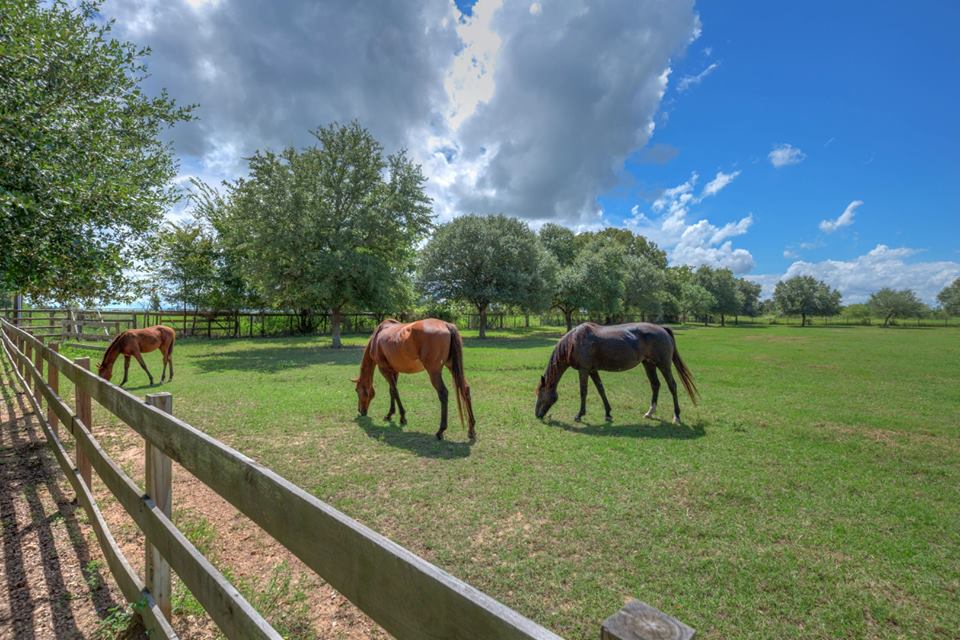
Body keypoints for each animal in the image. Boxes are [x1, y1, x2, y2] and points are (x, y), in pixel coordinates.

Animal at [532, 324, 696, 424]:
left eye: (540, 394)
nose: (537, 415)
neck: (575, 341)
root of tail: (662, 329)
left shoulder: (584, 370)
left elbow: (583, 392)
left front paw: (579, 415)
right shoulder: (592, 370)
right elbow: (601, 390)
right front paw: (608, 413)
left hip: (663, 365)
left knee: (672, 386)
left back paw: (676, 416)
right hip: (649, 364)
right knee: (655, 385)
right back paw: (650, 412)